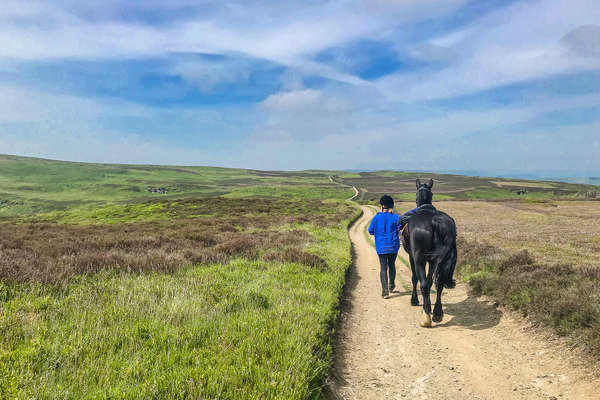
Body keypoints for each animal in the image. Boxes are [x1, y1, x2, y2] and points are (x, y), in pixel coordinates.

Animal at [400, 180, 458, 326]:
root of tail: (435, 221)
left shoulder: (412, 256)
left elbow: (416, 279)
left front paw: (414, 300)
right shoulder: (432, 261)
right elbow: (431, 280)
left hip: (419, 258)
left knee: (424, 284)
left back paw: (426, 316)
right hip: (444, 259)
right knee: (440, 283)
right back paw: (437, 313)